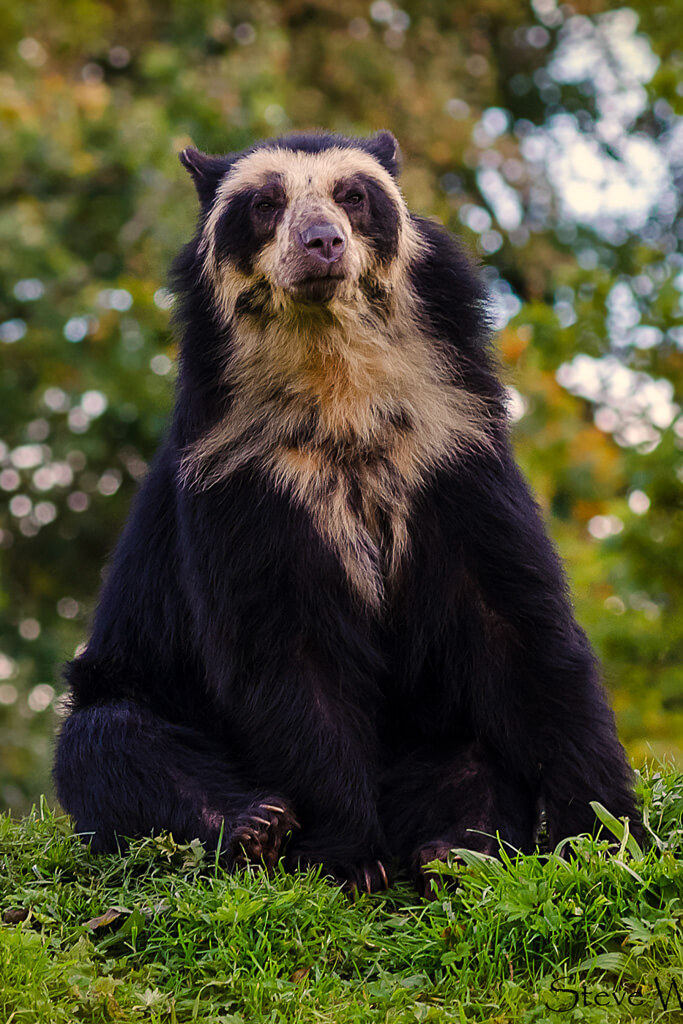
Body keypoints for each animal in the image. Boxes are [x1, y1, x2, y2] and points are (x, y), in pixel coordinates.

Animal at [53, 130, 640, 896]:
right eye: (265, 205)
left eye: (353, 196)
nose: (322, 243)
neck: (336, 381)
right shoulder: (244, 479)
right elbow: (285, 655)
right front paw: (348, 861)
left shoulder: (454, 455)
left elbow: (519, 625)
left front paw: (607, 836)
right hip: (129, 689)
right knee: (109, 742)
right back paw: (255, 826)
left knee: (473, 758)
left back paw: (453, 851)